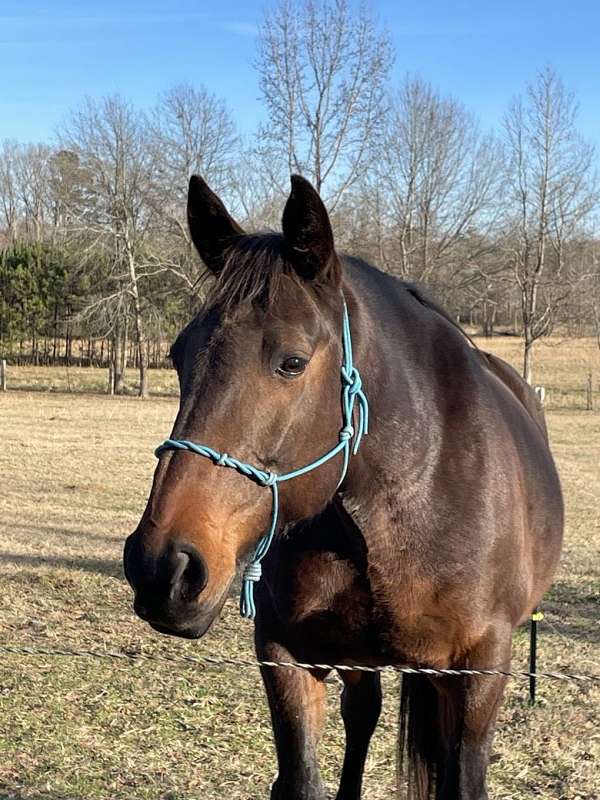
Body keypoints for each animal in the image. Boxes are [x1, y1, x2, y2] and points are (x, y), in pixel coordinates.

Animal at [122, 175, 564, 800]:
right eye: (178, 355)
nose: (162, 566)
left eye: (291, 361)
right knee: (363, 716)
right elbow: (302, 779)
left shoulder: (479, 672)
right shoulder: (286, 656)